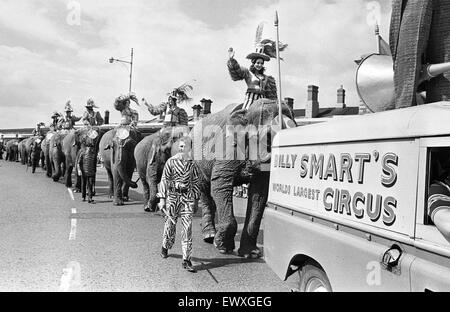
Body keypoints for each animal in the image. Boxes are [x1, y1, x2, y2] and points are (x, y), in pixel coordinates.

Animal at [189, 100, 296, 258]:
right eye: (268, 137)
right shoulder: (227, 147)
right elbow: (220, 183)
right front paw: (223, 247)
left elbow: (259, 194)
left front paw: (250, 255)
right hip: (196, 160)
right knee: (205, 190)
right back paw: (209, 236)